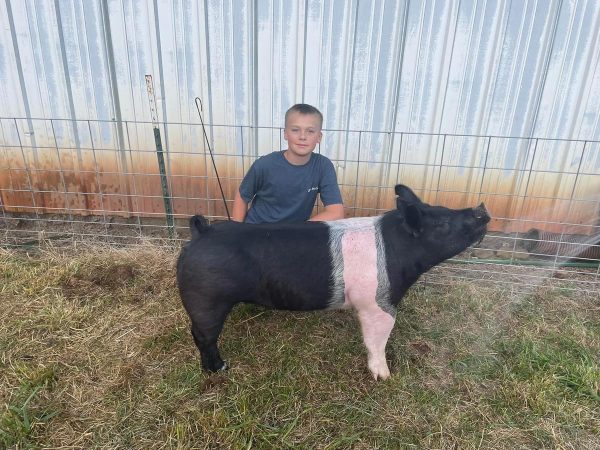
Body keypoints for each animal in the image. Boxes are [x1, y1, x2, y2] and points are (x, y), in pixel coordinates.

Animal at [176, 185, 490, 380]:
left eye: (445, 208)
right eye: (442, 224)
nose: (481, 208)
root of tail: (201, 232)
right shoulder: (377, 303)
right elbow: (377, 339)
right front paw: (385, 377)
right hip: (206, 299)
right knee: (202, 336)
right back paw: (219, 369)